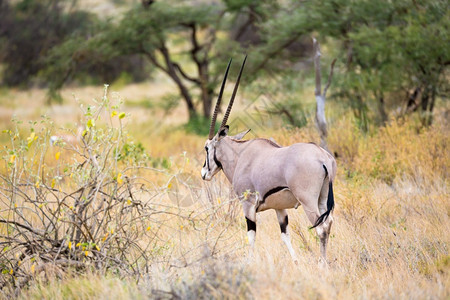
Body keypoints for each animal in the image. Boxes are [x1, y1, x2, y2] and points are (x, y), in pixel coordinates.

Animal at [202, 58, 336, 264]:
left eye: (206, 148)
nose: (204, 174)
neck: (240, 155)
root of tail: (323, 158)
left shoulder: (248, 204)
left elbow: (251, 235)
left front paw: (249, 263)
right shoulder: (279, 208)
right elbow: (285, 235)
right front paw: (295, 262)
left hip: (307, 200)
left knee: (321, 227)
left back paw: (322, 265)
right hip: (322, 198)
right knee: (328, 224)